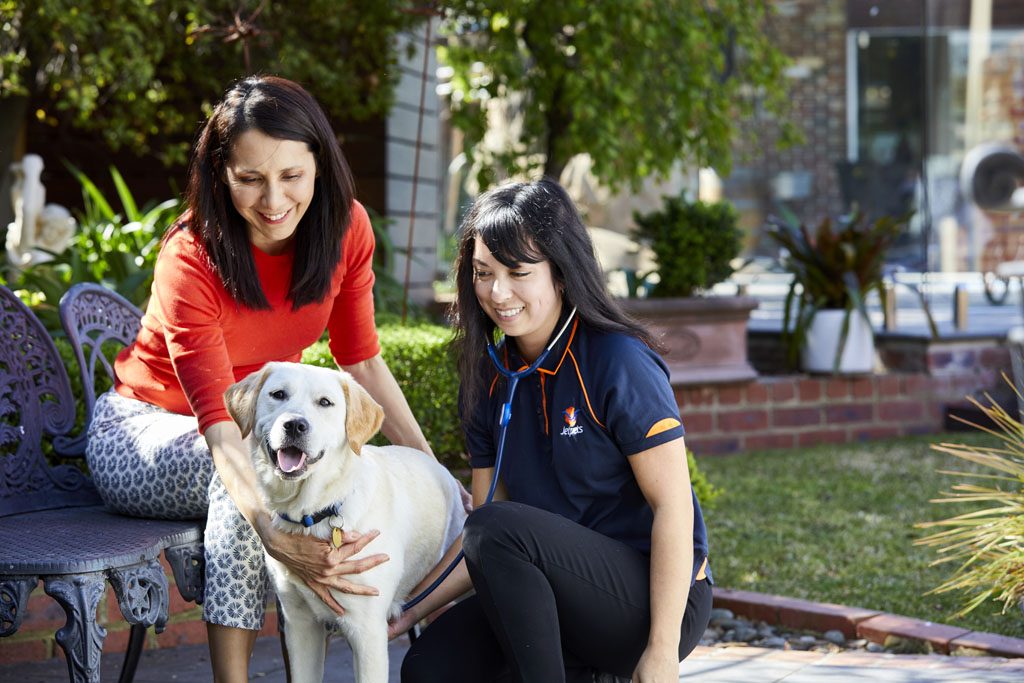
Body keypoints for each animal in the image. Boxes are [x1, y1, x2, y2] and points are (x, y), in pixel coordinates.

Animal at [226, 362, 466, 683]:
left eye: (325, 403)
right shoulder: (299, 625)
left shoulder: (368, 632)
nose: (295, 425)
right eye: (278, 395)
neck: (313, 511)